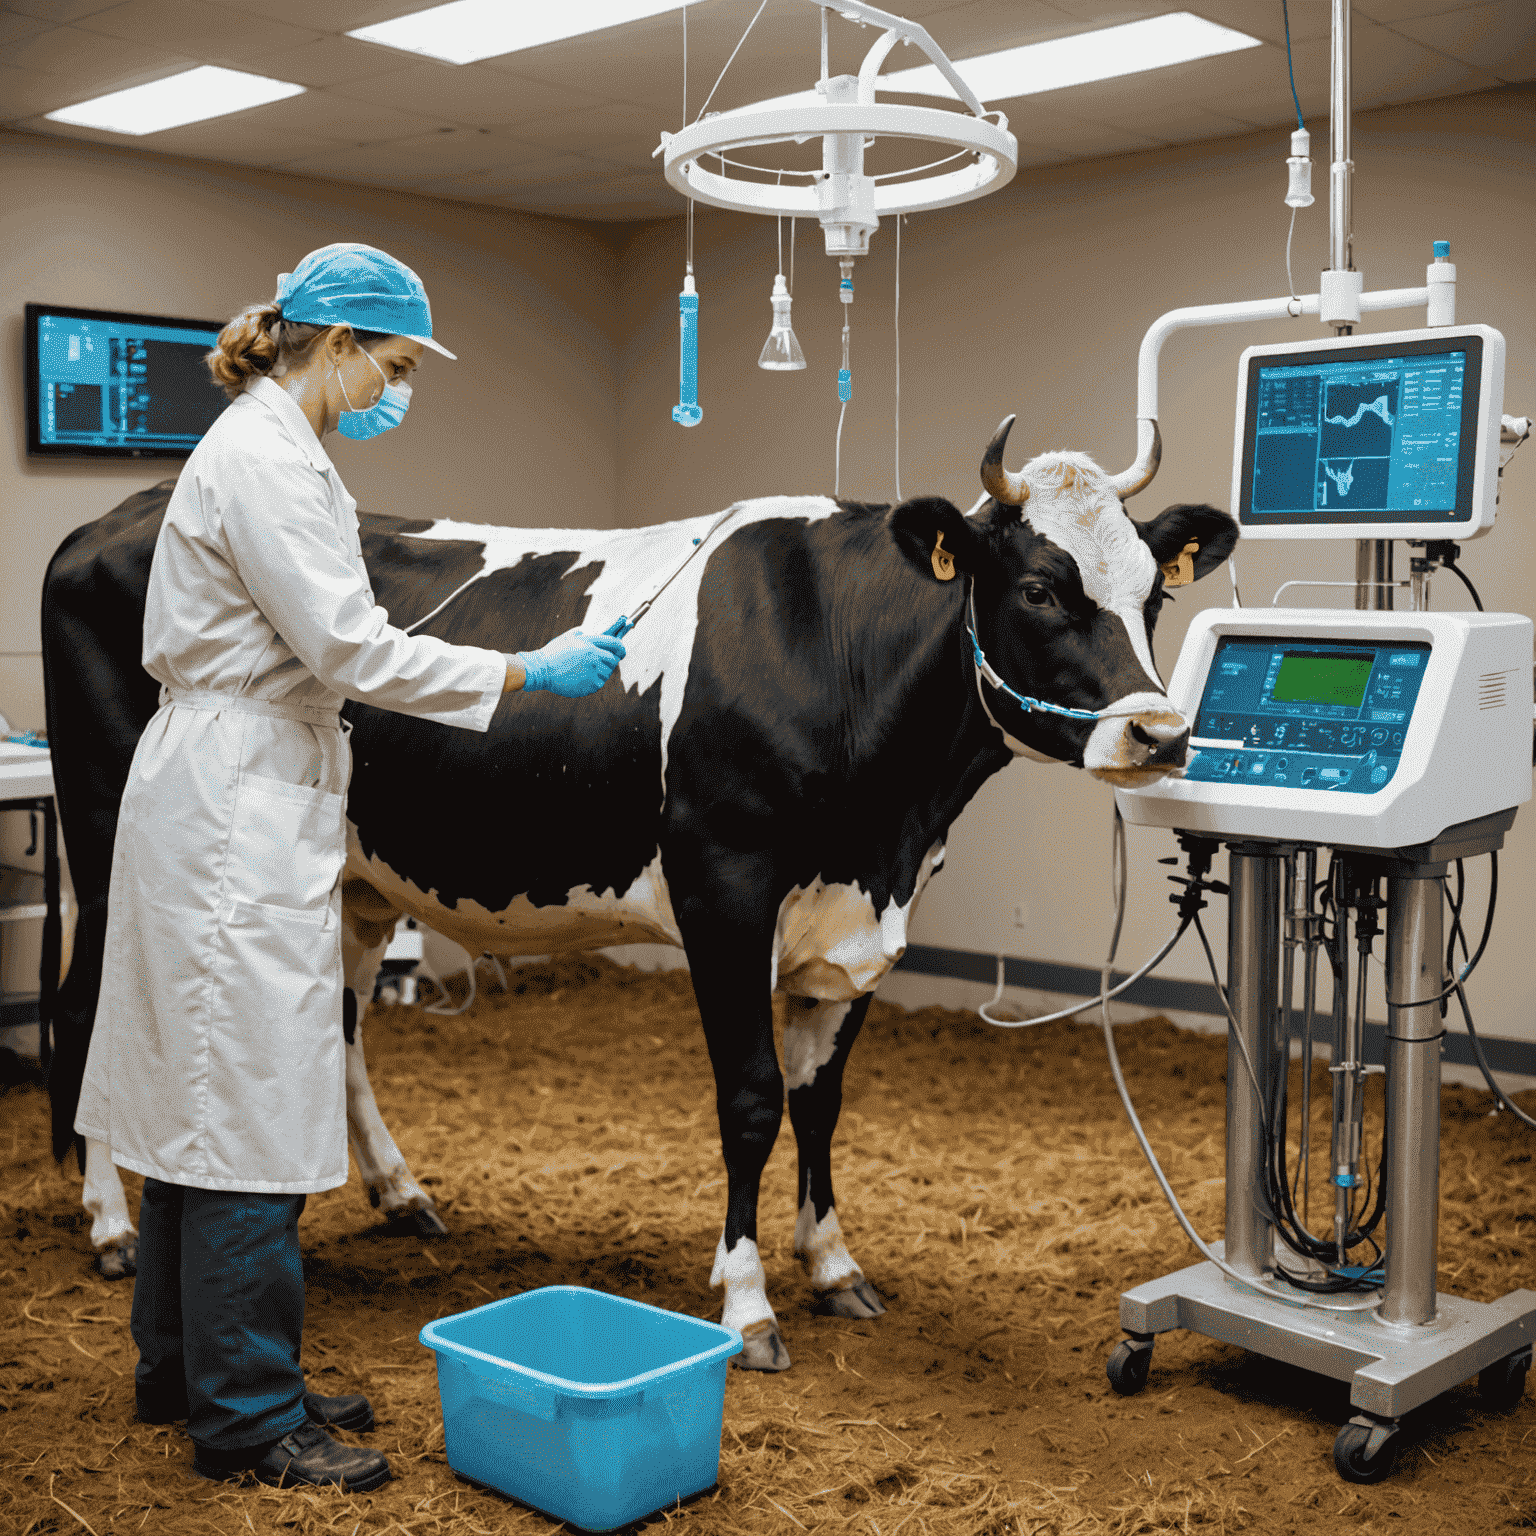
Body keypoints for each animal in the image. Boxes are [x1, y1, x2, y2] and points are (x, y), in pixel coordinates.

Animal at [42, 417, 1234, 1370]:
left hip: (355, 878)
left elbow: (821, 1101)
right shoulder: (725, 893)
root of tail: (115, 517)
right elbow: (751, 1100)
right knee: (86, 1005)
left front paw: (833, 1264)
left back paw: (398, 1192)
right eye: (1038, 588)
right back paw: (109, 1223)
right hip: (104, 831)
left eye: (1157, 590)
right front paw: (748, 1303)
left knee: (332, 1022)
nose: (1160, 734)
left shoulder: (854, 927)